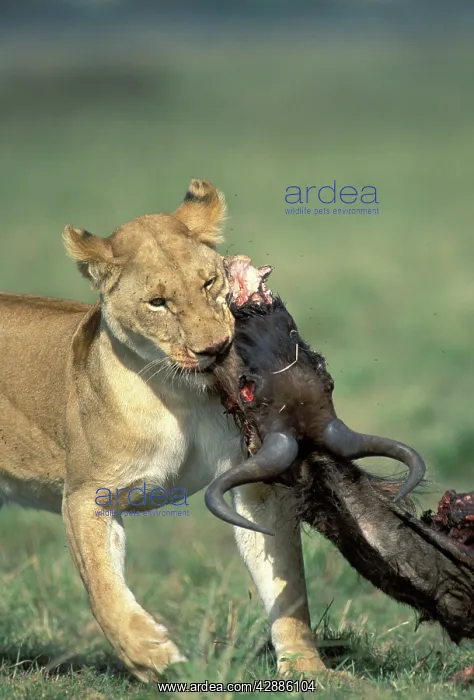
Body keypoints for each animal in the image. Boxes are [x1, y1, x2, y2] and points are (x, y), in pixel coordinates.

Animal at [0, 179, 321, 682]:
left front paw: (312, 669)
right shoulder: (87, 495)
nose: (216, 349)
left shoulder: (254, 484)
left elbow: (287, 585)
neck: (181, 394)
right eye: (158, 302)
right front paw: (154, 656)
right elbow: (103, 588)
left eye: (208, 282)